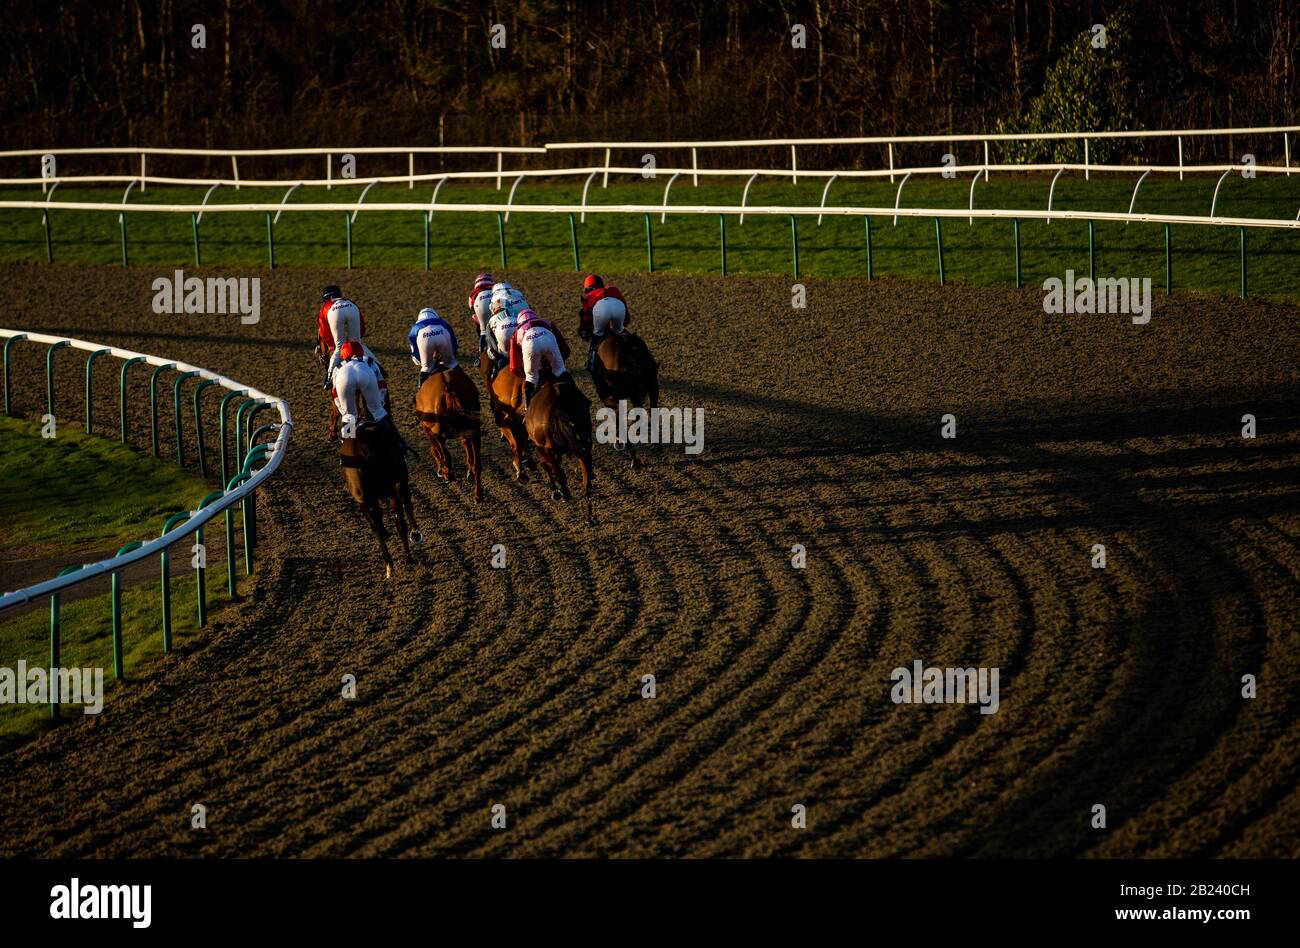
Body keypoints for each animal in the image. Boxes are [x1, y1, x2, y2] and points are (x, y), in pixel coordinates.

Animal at [340, 413, 421, 577]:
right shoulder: (394, 488)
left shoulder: (365, 500)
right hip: (394, 486)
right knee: (398, 521)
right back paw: (403, 556)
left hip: (369, 496)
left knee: (380, 525)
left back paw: (390, 562)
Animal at [416, 366, 483, 501]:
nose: (439, 471)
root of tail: (447, 386)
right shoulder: (466, 433)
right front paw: (469, 472)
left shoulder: (430, 431)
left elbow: (440, 452)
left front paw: (445, 471)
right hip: (474, 431)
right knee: (478, 464)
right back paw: (478, 494)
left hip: (438, 432)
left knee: (446, 455)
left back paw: (449, 474)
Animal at [522, 377, 595, 525]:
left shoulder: (543, 449)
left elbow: (550, 468)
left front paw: (557, 491)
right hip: (584, 445)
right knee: (587, 485)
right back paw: (589, 518)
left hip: (547, 449)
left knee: (559, 473)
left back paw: (565, 494)